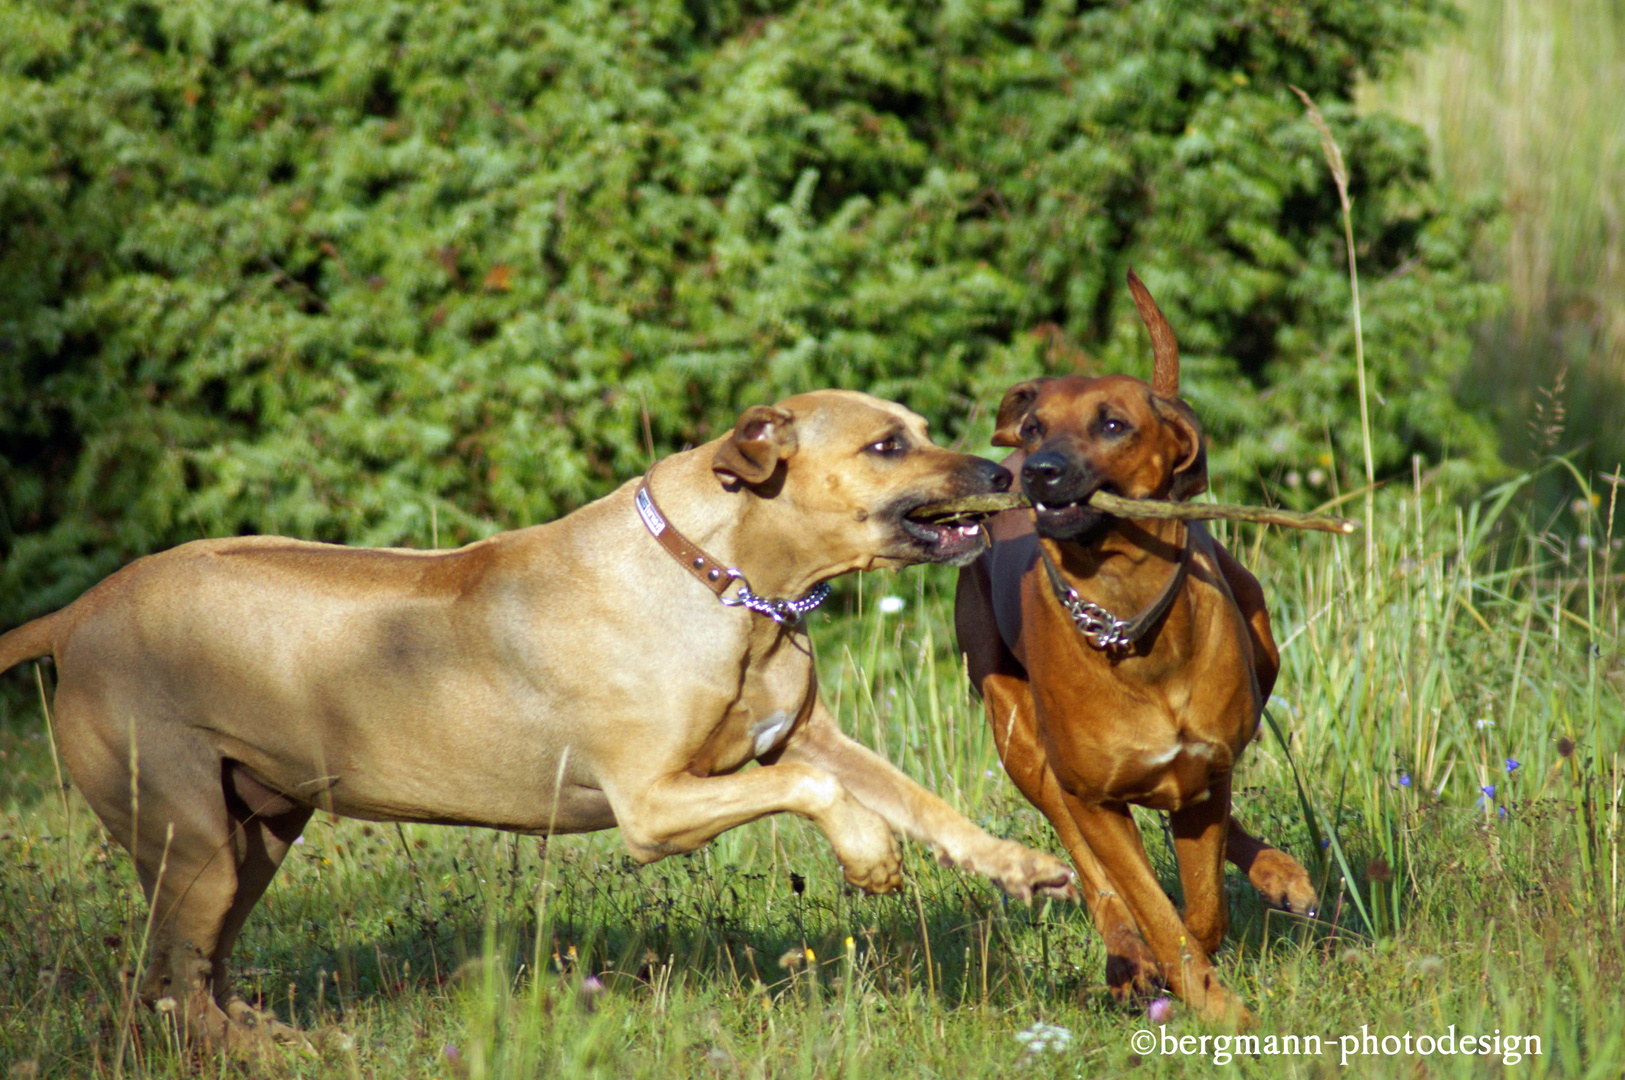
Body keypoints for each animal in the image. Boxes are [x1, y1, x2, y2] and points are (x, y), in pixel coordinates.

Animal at [0, 389, 1079, 1052]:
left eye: (920, 427)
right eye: (886, 445)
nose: (1002, 473)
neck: (727, 582)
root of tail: (78, 611)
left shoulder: (808, 733)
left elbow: (917, 799)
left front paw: (1017, 866)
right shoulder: (654, 805)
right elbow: (808, 791)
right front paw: (866, 854)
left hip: (252, 834)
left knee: (193, 976)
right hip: (190, 836)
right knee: (170, 989)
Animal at [949, 274, 1319, 1026]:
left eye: (1113, 424)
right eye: (1035, 425)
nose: (1037, 471)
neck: (1125, 618)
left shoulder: (1204, 770)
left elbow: (1200, 909)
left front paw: (1201, 979)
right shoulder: (1092, 794)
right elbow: (1151, 906)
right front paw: (1206, 999)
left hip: (1260, 651)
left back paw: (1278, 873)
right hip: (1019, 738)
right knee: (1091, 870)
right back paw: (1125, 958)